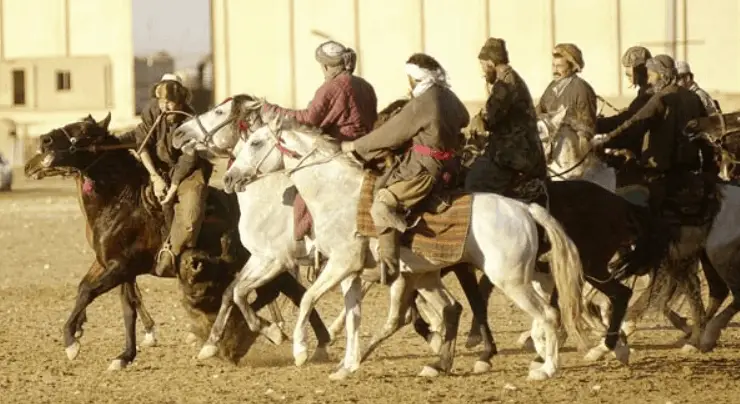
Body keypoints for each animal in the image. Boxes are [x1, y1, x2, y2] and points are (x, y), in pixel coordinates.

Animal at [23, 113, 330, 370]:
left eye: (85, 131)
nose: (44, 140)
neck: (122, 201)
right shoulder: (112, 266)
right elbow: (118, 304)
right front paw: (123, 355)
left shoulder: (121, 266)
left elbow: (89, 292)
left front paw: (71, 343)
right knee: (292, 292)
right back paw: (314, 345)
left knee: (285, 293)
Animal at [214, 108, 588, 382]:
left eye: (256, 143)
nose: (230, 178)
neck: (336, 195)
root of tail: (524, 208)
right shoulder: (350, 274)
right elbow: (352, 317)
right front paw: (346, 366)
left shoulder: (335, 264)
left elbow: (306, 299)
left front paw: (299, 350)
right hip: (469, 276)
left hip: (509, 279)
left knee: (547, 312)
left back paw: (545, 367)